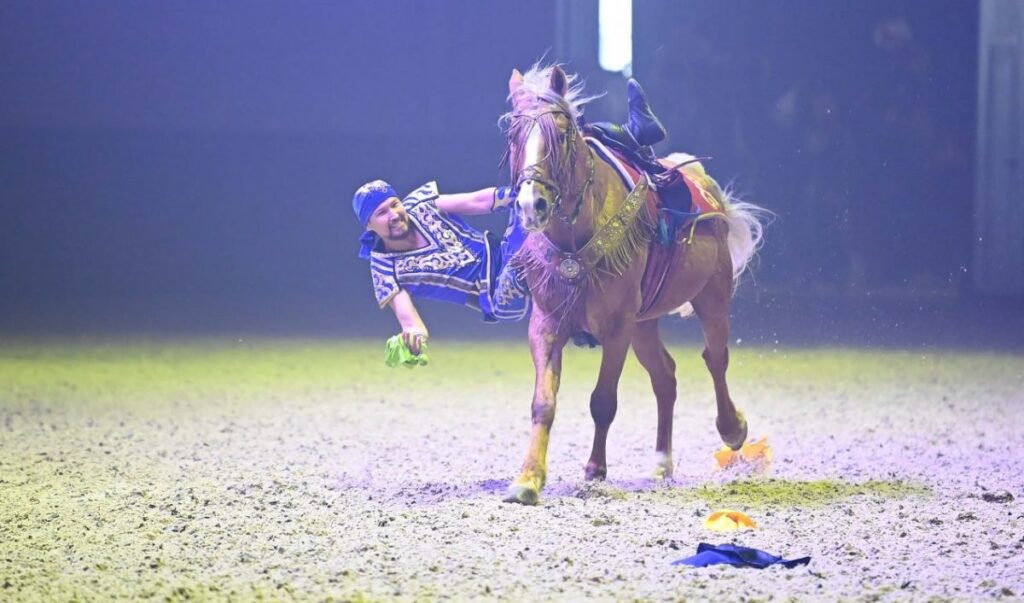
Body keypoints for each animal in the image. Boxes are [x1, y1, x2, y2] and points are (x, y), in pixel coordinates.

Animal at [503, 64, 770, 503]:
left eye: (562, 134)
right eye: (513, 135)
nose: (531, 204)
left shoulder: (616, 329)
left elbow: (602, 401)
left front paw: (595, 469)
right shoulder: (546, 324)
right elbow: (543, 403)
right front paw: (528, 479)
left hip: (711, 299)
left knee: (715, 359)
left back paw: (733, 429)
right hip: (644, 325)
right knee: (665, 377)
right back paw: (661, 463)